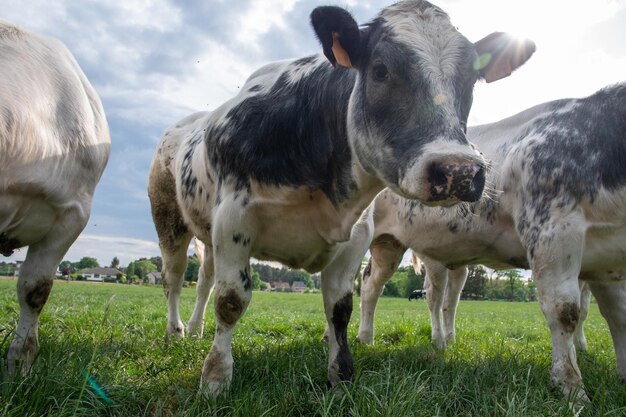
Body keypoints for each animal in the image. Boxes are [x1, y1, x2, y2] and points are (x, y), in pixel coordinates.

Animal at [146, 0, 532, 394]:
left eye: (471, 80)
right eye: (380, 70)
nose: (459, 171)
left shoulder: (356, 235)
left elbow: (340, 307)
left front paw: (341, 374)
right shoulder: (233, 220)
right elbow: (231, 300)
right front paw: (215, 379)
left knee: (203, 281)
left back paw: (196, 329)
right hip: (169, 219)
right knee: (173, 278)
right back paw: (176, 332)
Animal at [356, 84, 624, 400]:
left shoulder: (606, 258)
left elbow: (618, 315)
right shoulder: (552, 231)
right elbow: (564, 311)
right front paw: (571, 388)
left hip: (395, 246)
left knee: (395, 288)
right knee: (385, 288)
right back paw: (374, 337)